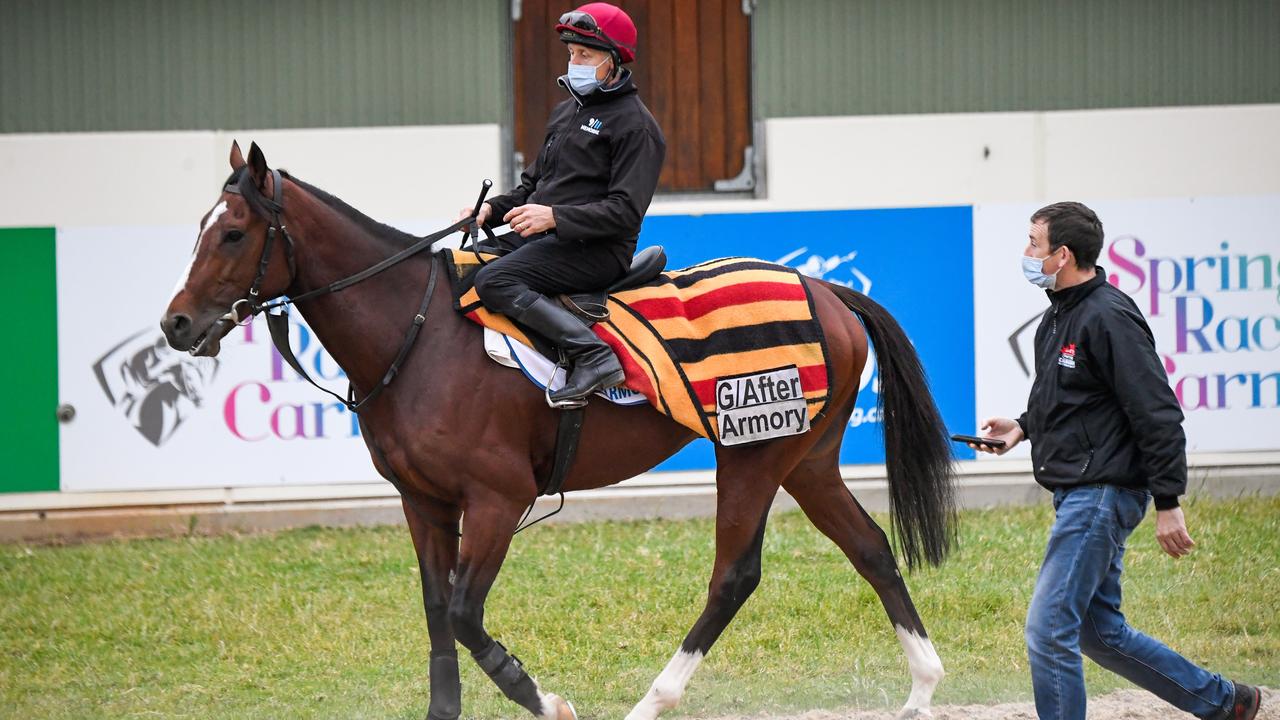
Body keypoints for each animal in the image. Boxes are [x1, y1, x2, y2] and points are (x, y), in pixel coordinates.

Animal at [160, 142, 957, 717]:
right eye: (200, 231)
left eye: (233, 233)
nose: (177, 324)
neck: (418, 334)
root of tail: (824, 288)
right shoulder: (423, 502)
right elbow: (436, 615)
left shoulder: (496, 498)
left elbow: (464, 614)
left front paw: (543, 698)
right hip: (806, 458)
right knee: (870, 548)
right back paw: (921, 687)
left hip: (756, 457)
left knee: (734, 575)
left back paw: (653, 700)